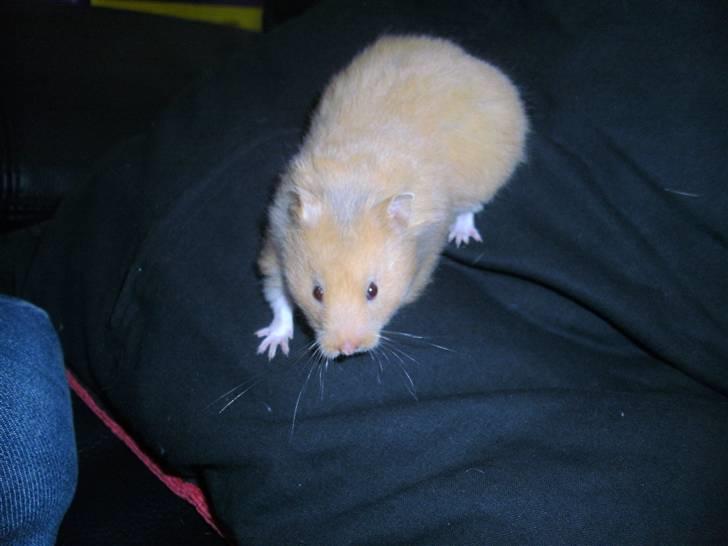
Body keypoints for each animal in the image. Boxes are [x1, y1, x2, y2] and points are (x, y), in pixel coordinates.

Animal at [255, 35, 528, 360]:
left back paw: (462, 236)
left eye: (373, 290)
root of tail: (473, 61)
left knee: (471, 208)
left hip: (485, 172)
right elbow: (279, 298)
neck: (351, 193)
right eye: (316, 292)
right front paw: (270, 347)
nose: (348, 349)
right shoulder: (276, 244)